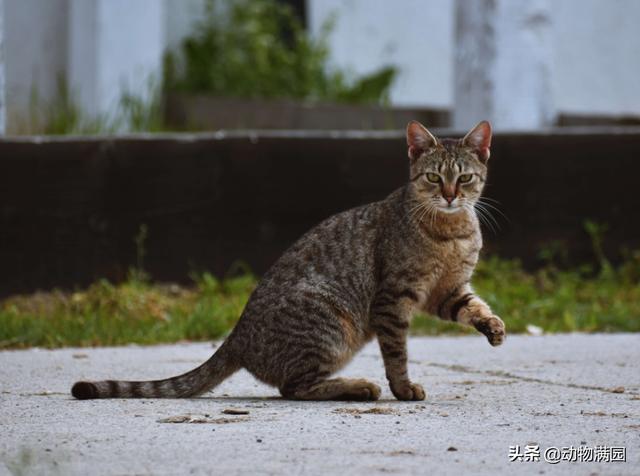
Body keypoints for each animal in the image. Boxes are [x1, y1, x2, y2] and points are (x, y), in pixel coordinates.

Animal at [71, 120, 504, 402]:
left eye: (464, 178)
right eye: (433, 178)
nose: (449, 195)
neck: (451, 232)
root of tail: (237, 335)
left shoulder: (445, 290)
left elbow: (472, 306)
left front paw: (493, 326)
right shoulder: (394, 297)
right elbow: (397, 353)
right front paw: (402, 388)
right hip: (331, 325)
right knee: (293, 388)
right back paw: (358, 388)